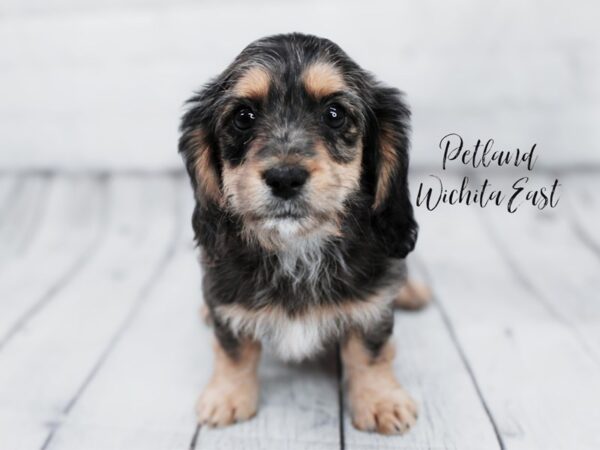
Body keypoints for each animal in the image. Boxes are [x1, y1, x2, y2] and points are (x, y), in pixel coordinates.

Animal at [178, 32, 426, 436]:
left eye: (334, 114)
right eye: (244, 117)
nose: (285, 178)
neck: (297, 248)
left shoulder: (373, 304)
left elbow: (369, 350)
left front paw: (379, 401)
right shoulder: (227, 297)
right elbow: (234, 349)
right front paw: (227, 397)